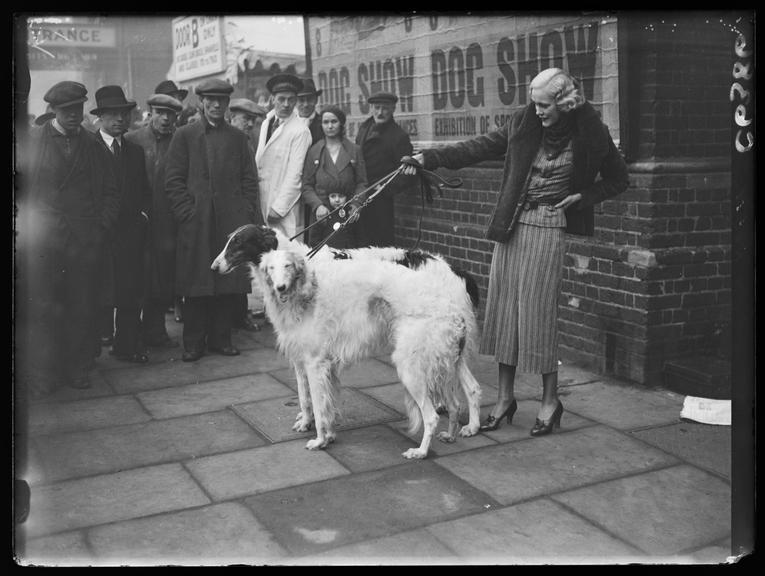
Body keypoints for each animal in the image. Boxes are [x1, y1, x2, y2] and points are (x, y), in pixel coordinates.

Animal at [212, 225, 480, 460]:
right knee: (471, 389)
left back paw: (429, 445)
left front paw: (320, 436)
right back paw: (465, 429)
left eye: (238, 242)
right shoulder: (305, 358)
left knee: (438, 407)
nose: (214, 267)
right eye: (229, 240)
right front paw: (311, 425)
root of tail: (455, 269)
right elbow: (308, 398)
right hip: (449, 354)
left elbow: (317, 403)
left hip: (418, 359)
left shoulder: (315, 360)